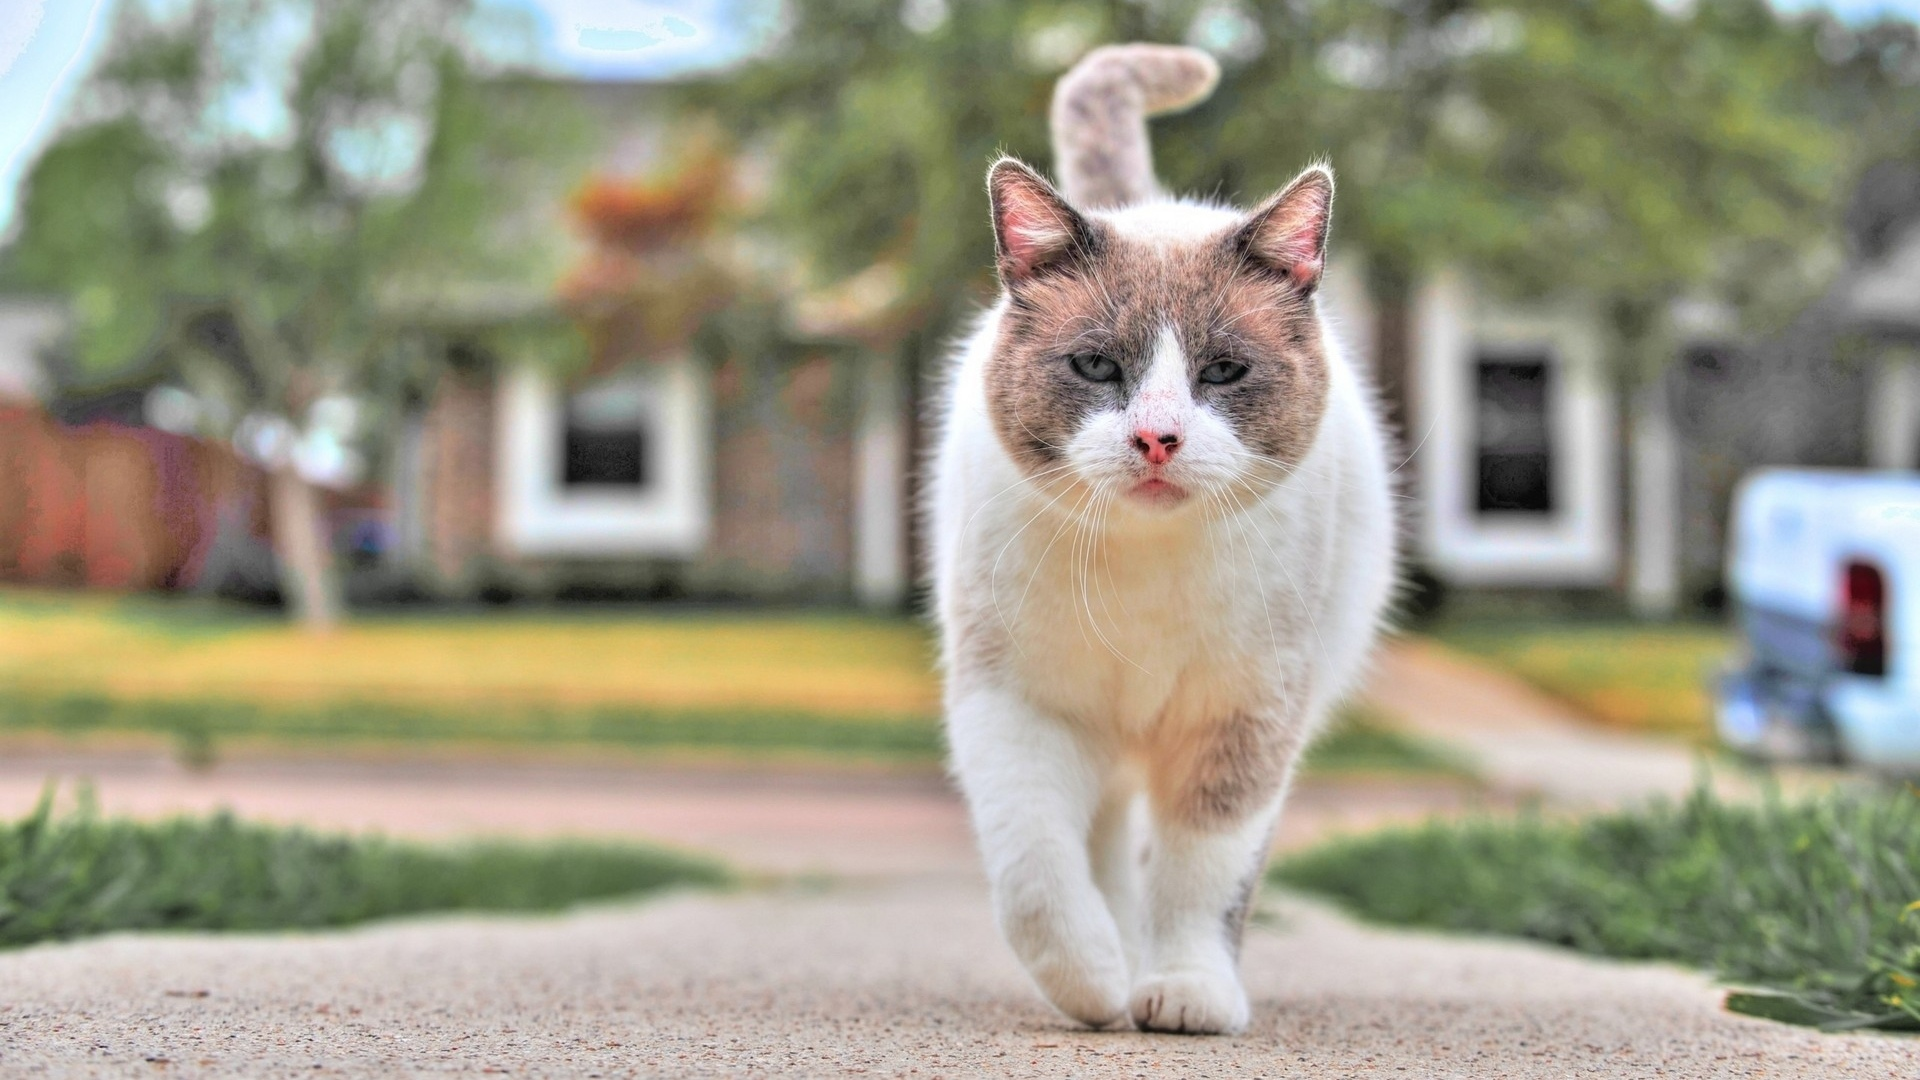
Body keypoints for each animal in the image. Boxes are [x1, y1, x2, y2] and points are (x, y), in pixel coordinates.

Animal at [929, 44, 1397, 1037]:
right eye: (1097, 365)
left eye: (1223, 371)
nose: (1156, 438)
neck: (1144, 574)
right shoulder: (1016, 707)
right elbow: (1035, 870)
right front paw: (1094, 981)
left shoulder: (1245, 720)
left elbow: (1201, 875)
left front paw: (1183, 989)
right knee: (1098, 847)